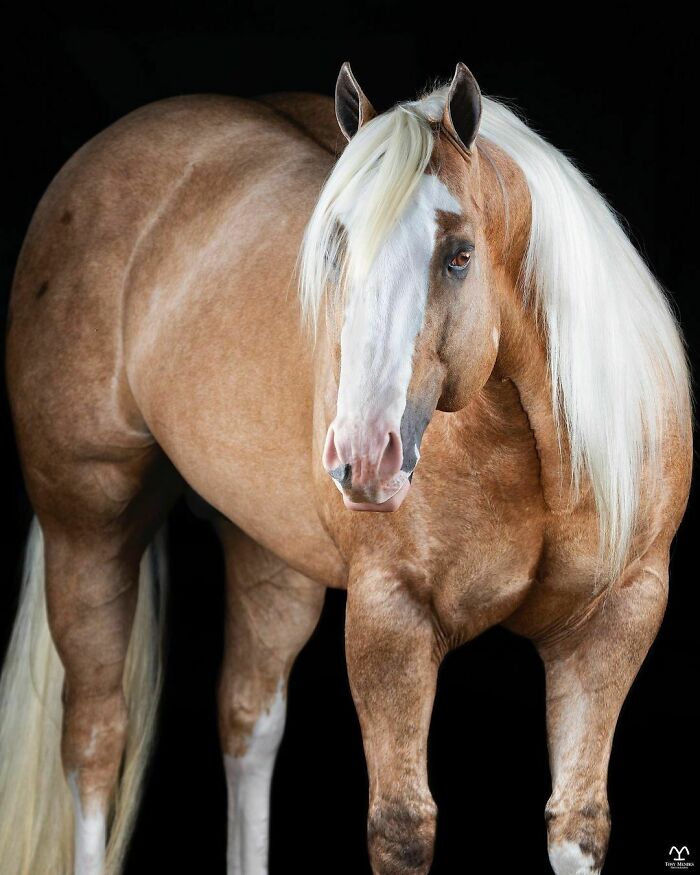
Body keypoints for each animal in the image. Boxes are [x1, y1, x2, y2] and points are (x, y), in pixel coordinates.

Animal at [0, 61, 691, 875]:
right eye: (333, 247)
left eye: (460, 254)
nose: (363, 455)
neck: (536, 453)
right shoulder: (391, 616)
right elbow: (402, 827)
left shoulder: (614, 621)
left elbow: (576, 824)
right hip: (87, 528)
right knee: (96, 740)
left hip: (267, 555)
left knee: (248, 725)